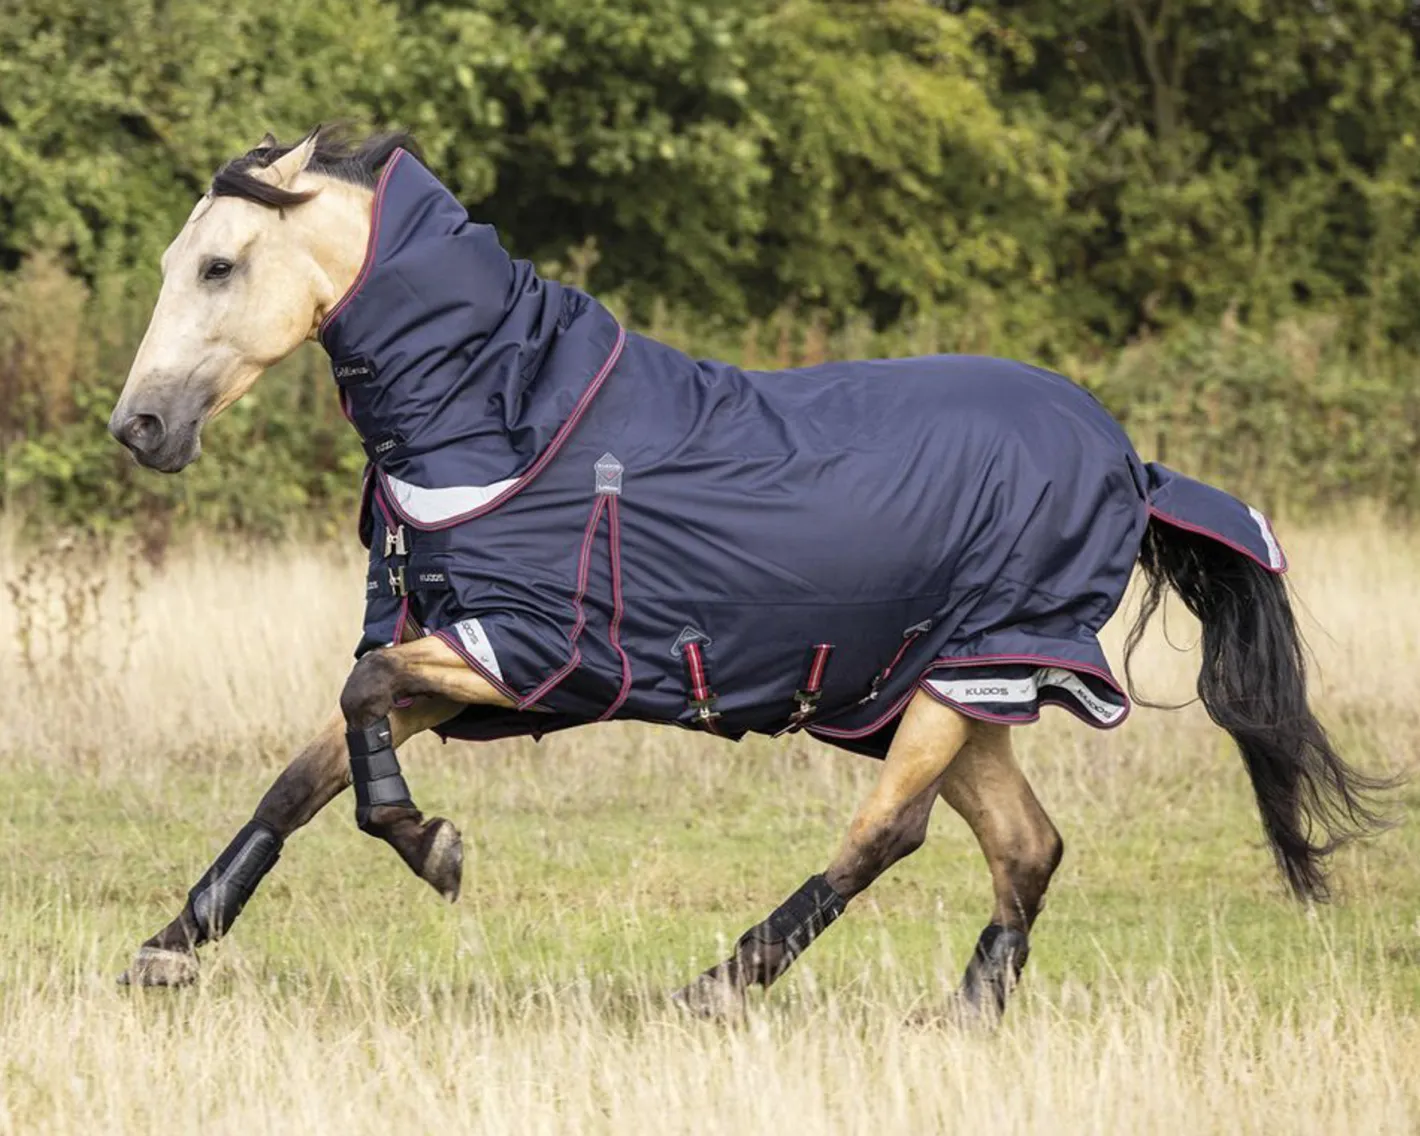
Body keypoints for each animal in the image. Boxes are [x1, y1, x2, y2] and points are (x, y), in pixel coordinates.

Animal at [107, 127, 1391, 1018]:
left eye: (218, 265)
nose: (140, 426)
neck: (513, 419)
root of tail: (1127, 458)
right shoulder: (458, 653)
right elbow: (304, 769)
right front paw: (170, 946)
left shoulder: (524, 653)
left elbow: (356, 702)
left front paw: (434, 847)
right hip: (956, 683)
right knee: (1025, 844)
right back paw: (968, 1010)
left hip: (966, 677)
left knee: (887, 832)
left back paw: (720, 982)